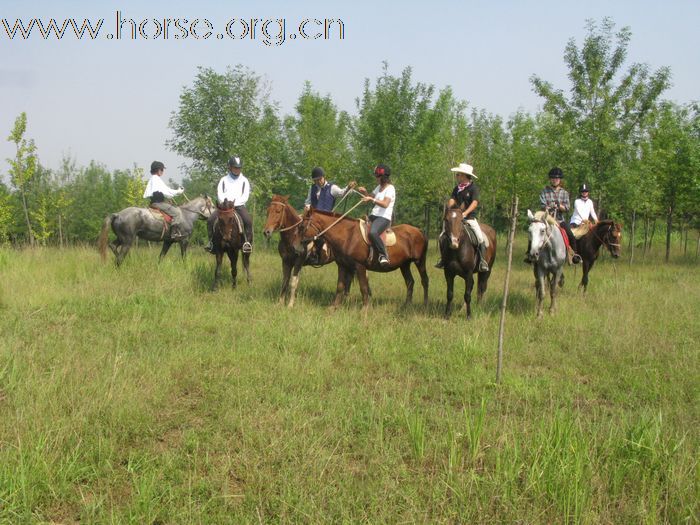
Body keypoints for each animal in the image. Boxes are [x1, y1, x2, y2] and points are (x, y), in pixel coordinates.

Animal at [302, 208, 430, 310]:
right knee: (410, 282)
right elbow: (340, 286)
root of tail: (419, 231)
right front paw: (334, 306)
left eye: (302, 225)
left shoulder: (360, 266)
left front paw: (365, 308)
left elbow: (363, 287)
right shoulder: (342, 265)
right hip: (404, 264)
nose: (299, 243)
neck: (348, 236)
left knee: (424, 280)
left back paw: (425, 304)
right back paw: (407, 304)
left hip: (420, 260)